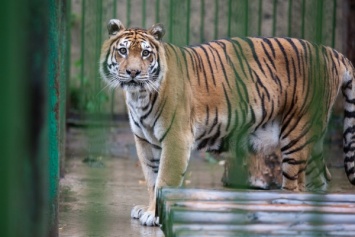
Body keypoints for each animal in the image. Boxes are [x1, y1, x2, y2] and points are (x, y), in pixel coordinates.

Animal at [99, 18, 355, 226]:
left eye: (145, 54)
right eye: (122, 51)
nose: (133, 73)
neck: (139, 96)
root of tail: (331, 52)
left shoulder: (176, 139)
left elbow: (164, 179)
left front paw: (153, 214)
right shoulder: (145, 141)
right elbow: (151, 179)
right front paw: (148, 208)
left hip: (296, 134)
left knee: (296, 186)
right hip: (311, 138)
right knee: (322, 179)